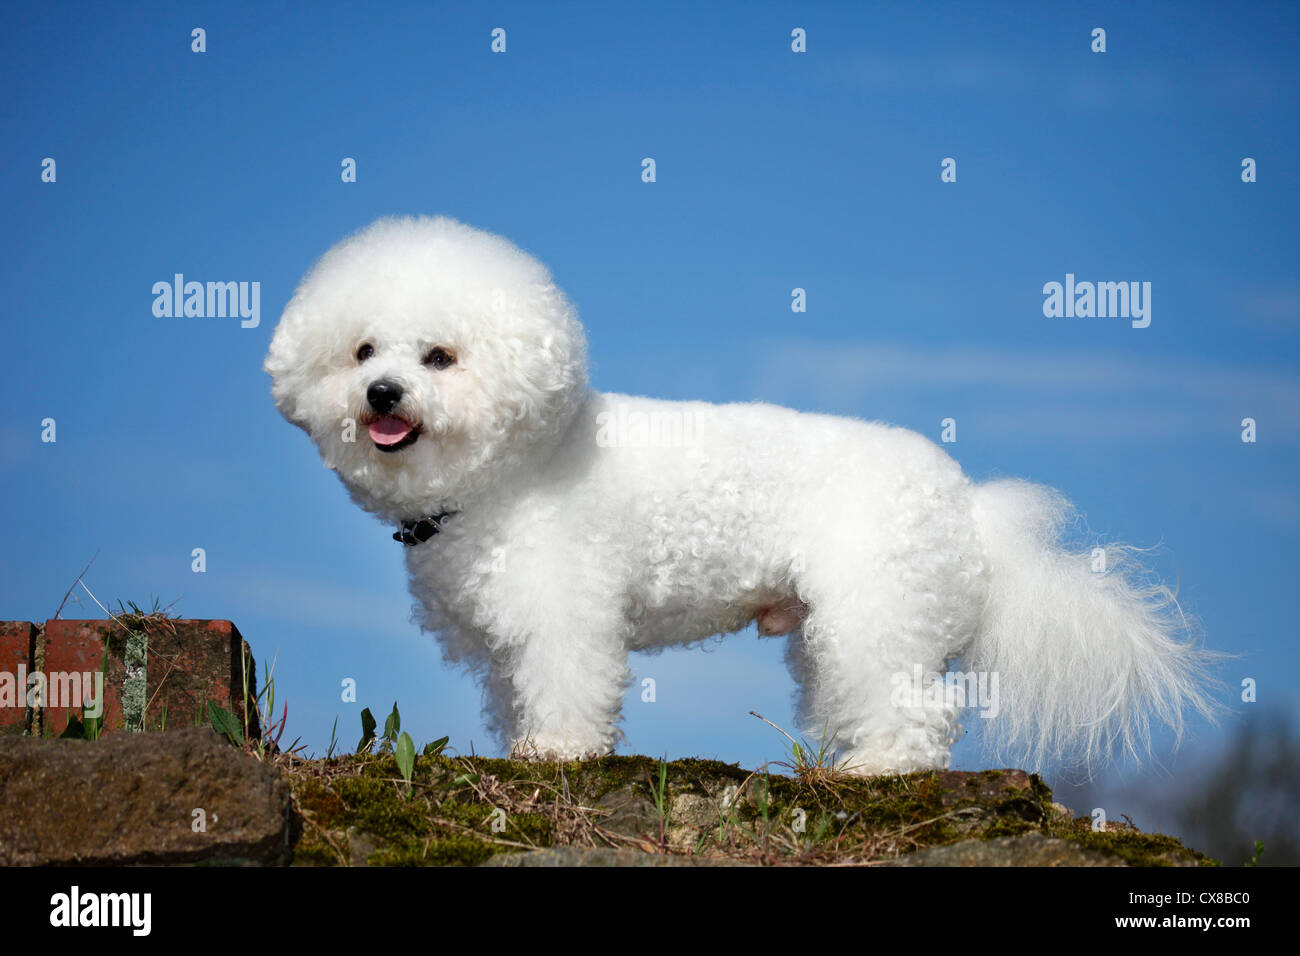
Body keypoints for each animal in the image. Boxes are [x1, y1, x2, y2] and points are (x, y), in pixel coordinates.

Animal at [266, 213, 1216, 775]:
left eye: (440, 357)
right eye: (362, 352)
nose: (381, 395)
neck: (515, 465)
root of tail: (969, 508)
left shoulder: (566, 612)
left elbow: (569, 685)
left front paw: (561, 752)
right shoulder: (510, 637)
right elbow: (516, 694)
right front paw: (529, 747)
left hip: (880, 608)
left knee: (922, 710)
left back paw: (881, 768)